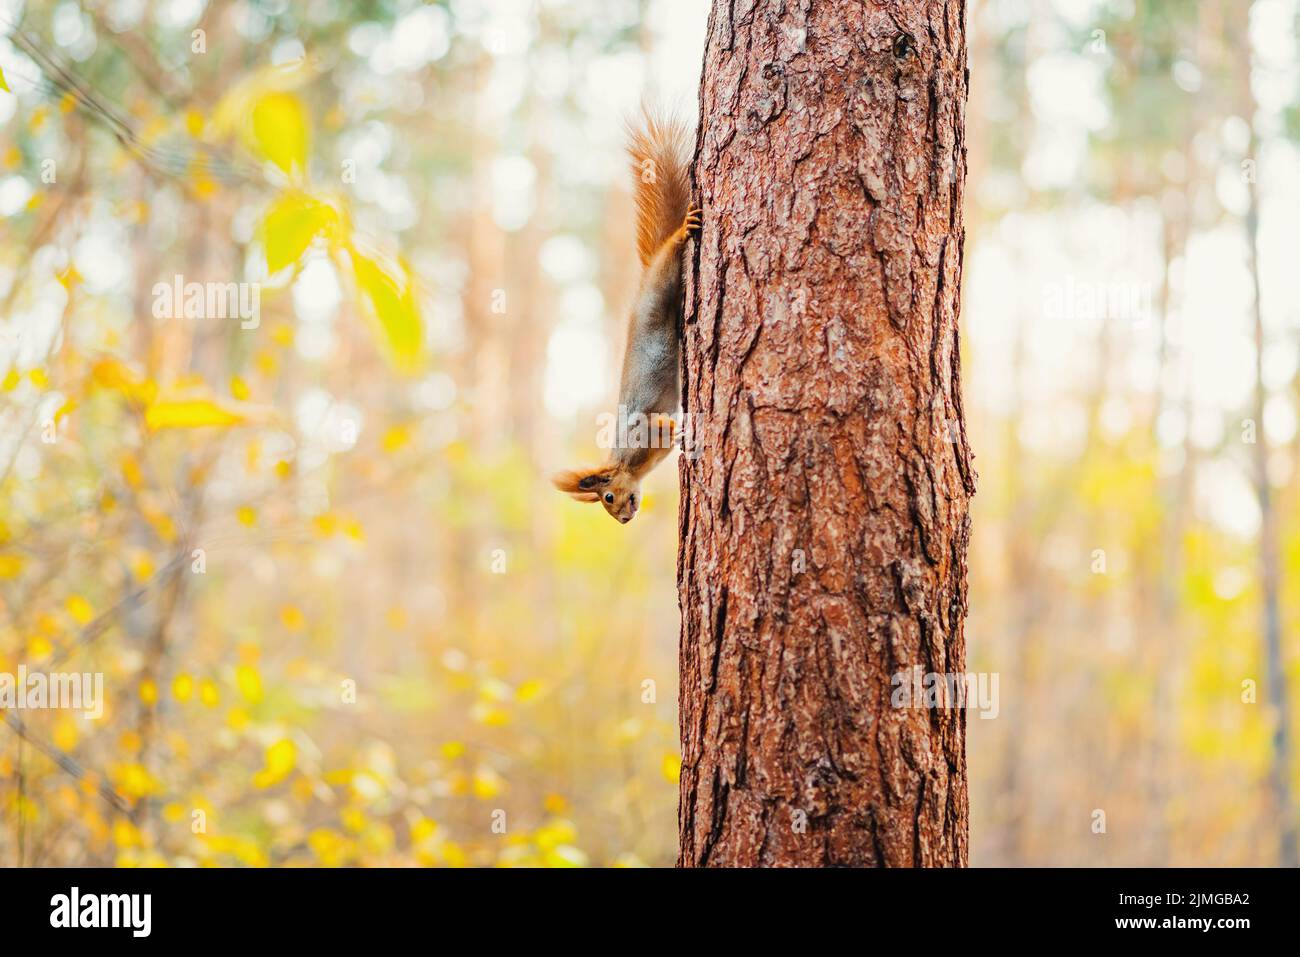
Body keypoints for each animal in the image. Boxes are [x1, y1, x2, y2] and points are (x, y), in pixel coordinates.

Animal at [553, 111, 707, 522]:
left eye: (608, 497)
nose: (623, 519)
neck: (629, 465)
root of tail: (641, 285)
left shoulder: (642, 434)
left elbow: (658, 423)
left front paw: (679, 426)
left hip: (662, 284)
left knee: (671, 253)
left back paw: (681, 232)